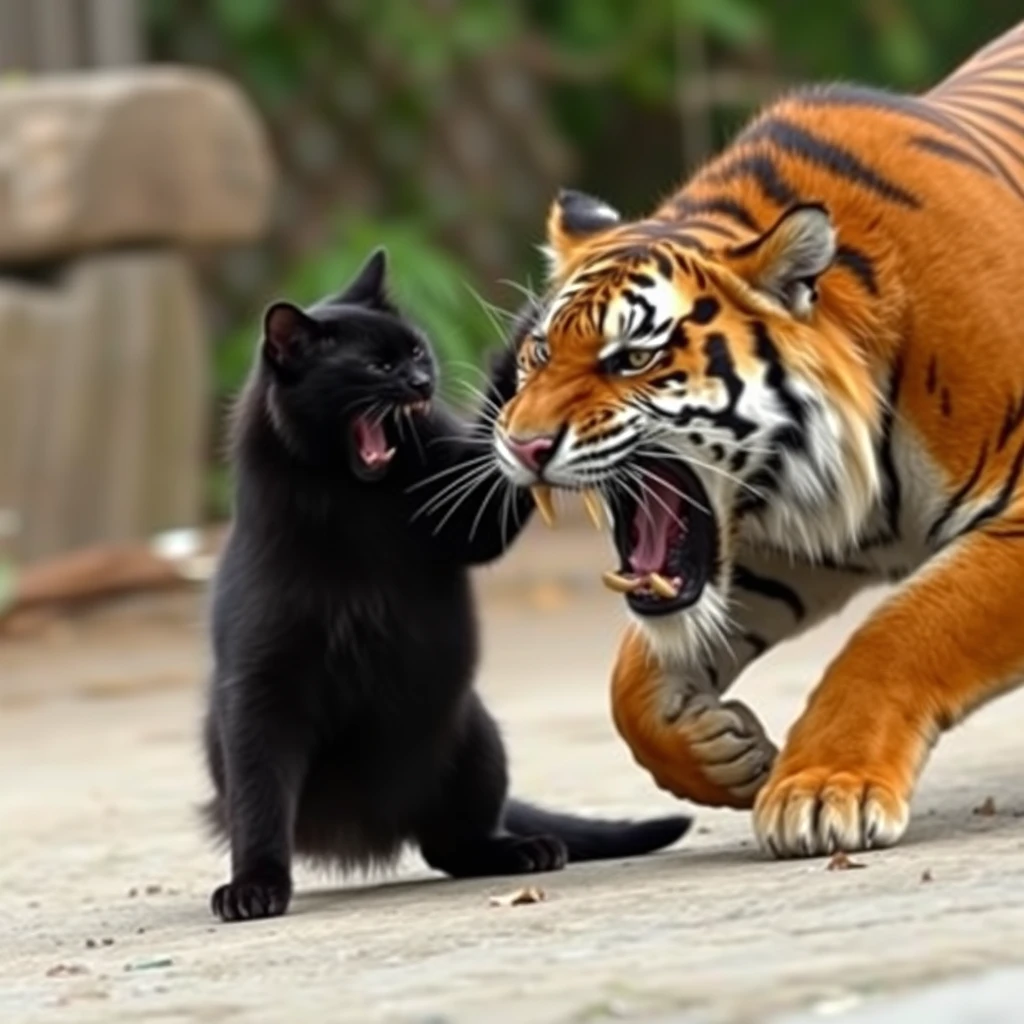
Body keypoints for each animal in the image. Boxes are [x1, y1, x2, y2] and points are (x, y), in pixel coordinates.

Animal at [201, 251, 688, 925]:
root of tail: (369, 830)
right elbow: (259, 805)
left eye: (417, 352)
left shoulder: (466, 517)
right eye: (378, 367)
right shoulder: (259, 695)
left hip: (474, 738)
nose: (421, 381)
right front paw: (253, 888)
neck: (354, 501)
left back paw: (522, 850)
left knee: (454, 844)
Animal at [489, 19, 1024, 860]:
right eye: (540, 354)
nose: (522, 445)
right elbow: (631, 677)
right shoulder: (782, 553)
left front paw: (822, 791)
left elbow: (901, 633)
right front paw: (722, 753)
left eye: (632, 358)